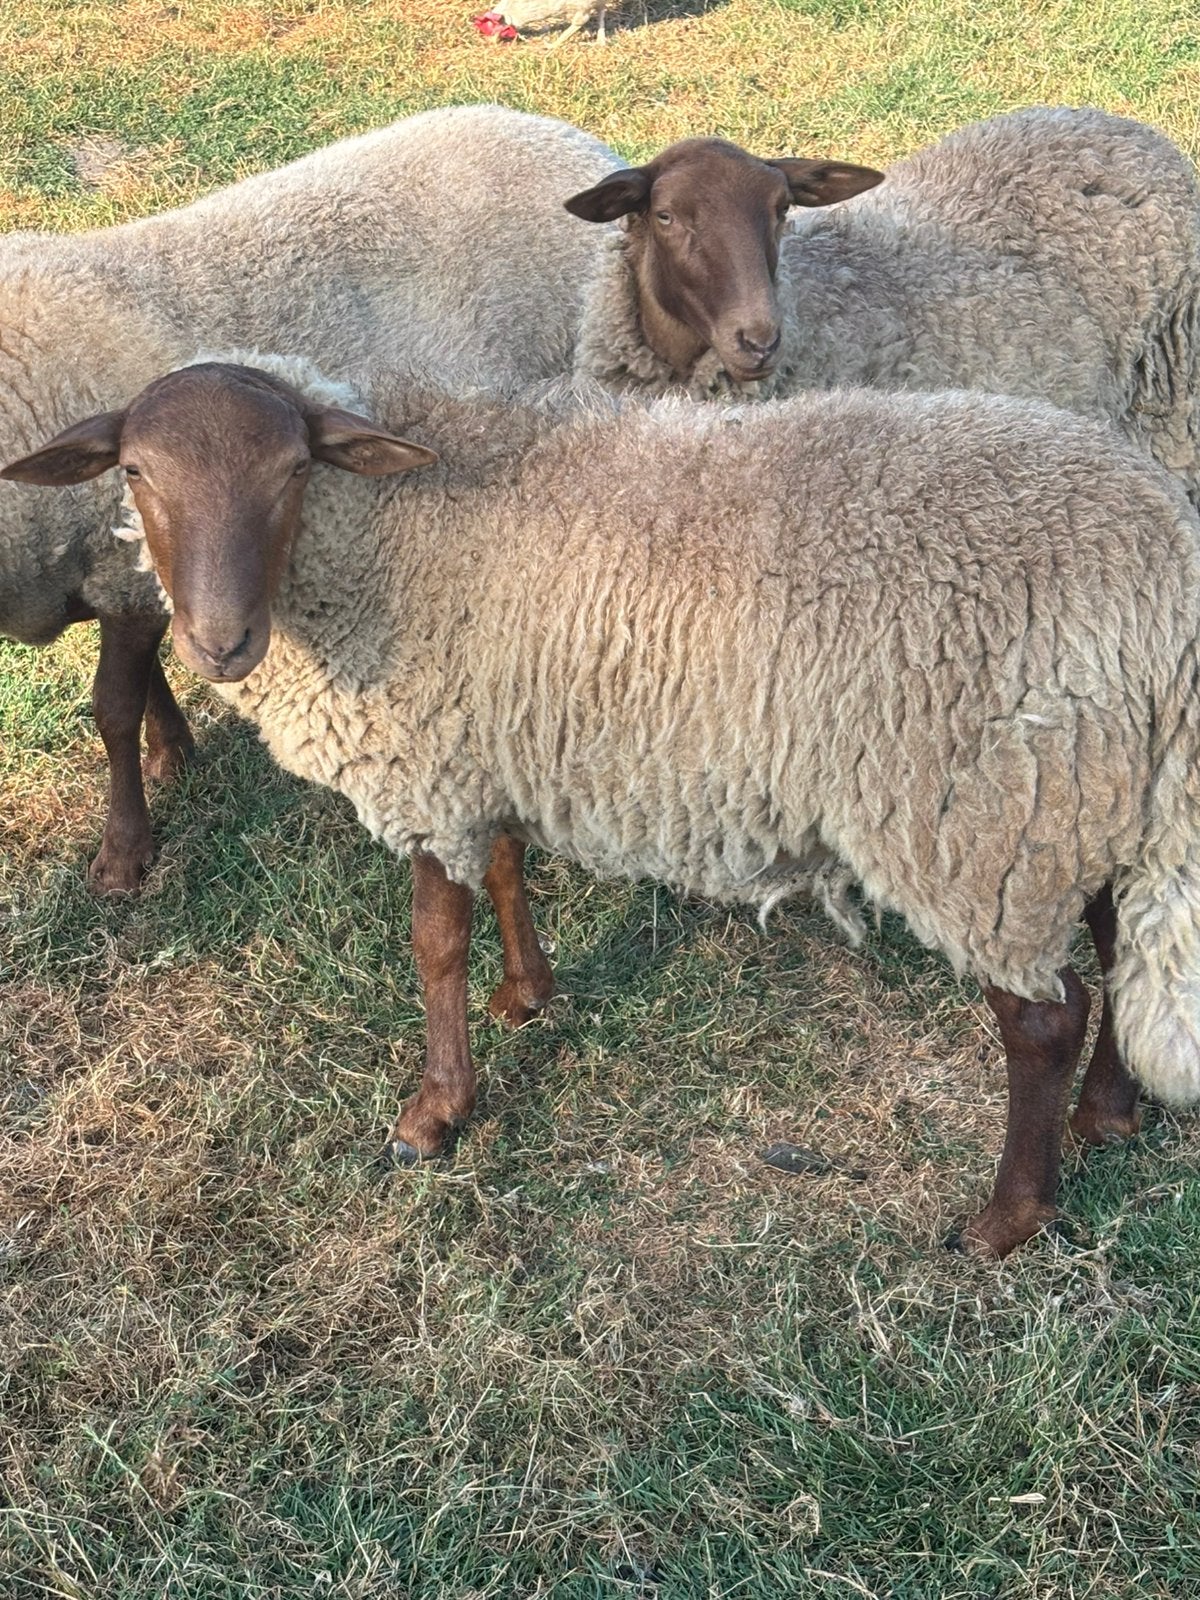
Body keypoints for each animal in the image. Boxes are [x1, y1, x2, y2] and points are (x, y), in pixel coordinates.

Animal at [0, 102, 616, 893]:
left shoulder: (118, 576)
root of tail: (570, 139)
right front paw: (174, 755)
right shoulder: (134, 566)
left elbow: (113, 709)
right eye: (136, 472)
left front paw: (123, 852)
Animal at [10, 354, 1200, 1258]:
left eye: (295, 467)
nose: (219, 641)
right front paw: (527, 994)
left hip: (982, 818)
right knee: (1114, 938)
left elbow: (432, 940)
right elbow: (505, 869)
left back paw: (1006, 1219)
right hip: (1086, 788)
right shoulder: (488, 743)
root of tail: (1162, 560)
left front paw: (434, 1113)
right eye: (134, 471)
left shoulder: (429, 760)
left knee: (1045, 1017)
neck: (375, 544)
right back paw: (1108, 1113)